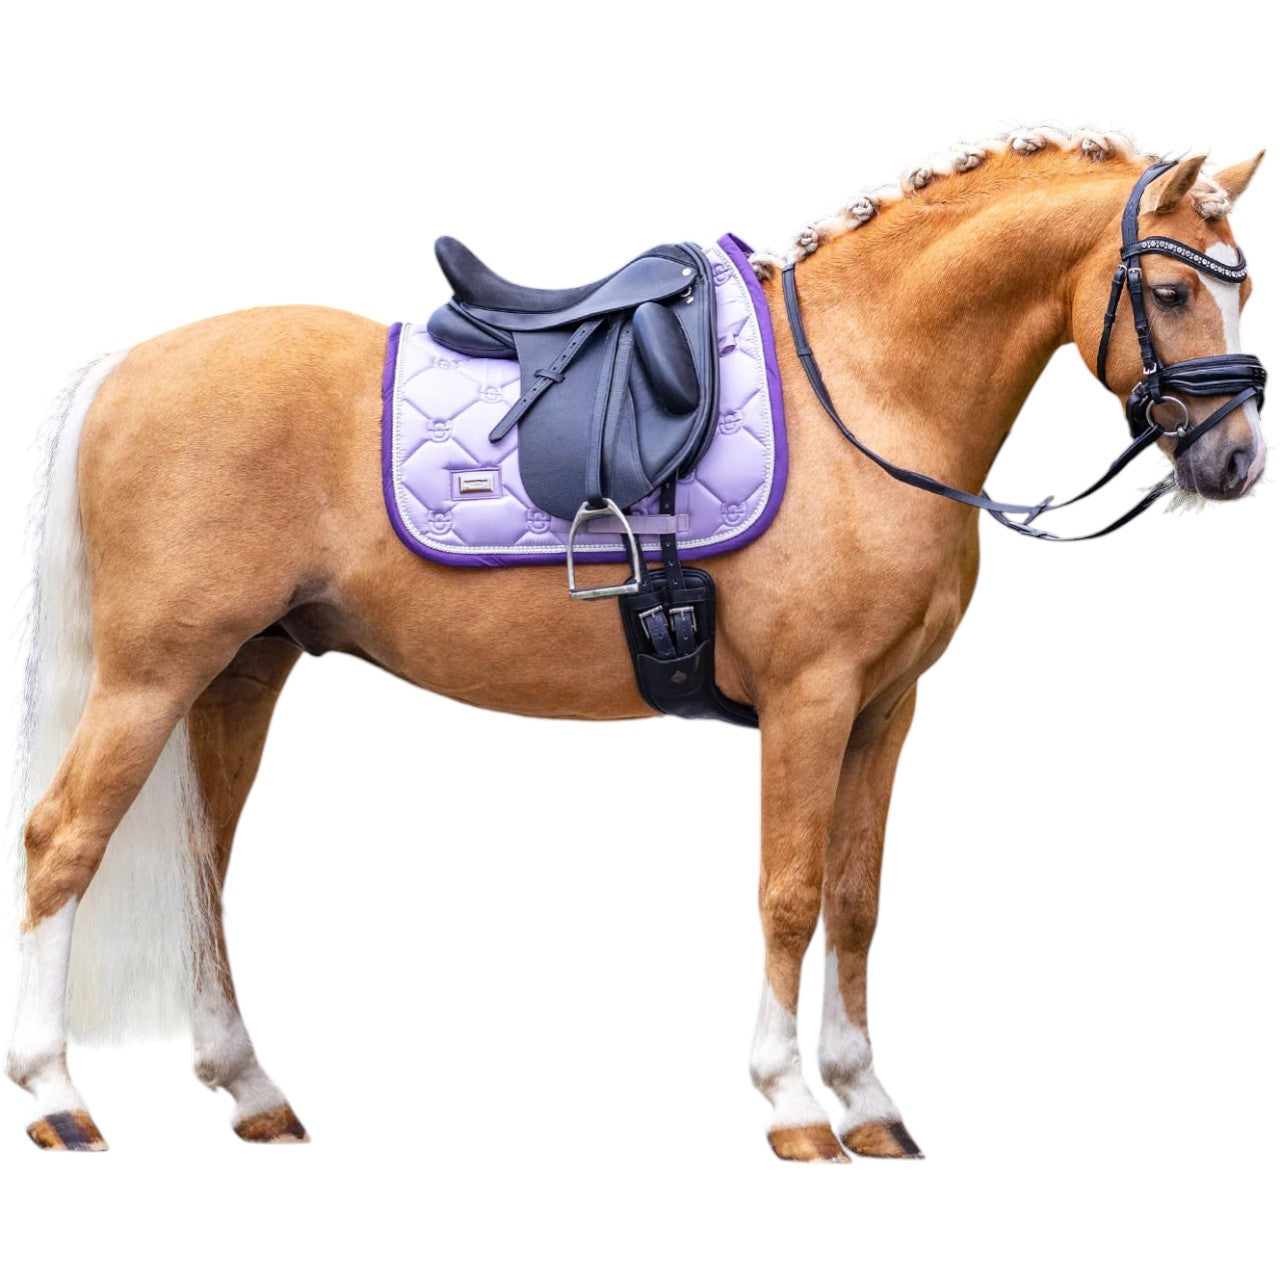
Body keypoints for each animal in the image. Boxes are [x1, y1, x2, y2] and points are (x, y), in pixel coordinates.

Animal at [6, 128, 1266, 1159]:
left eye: (1241, 287)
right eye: (1166, 289)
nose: (1236, 459)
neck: (862, 387)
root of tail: (127, 364)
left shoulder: (884, 707)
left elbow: (857, 898)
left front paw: (867, 1100)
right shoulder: (810, 698)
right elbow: (789, 892)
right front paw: (791, 1103)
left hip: (241, 670)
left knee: (201, 871)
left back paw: (252, 1090)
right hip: (152, 674)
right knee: (64, 840)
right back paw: (56, 1096)